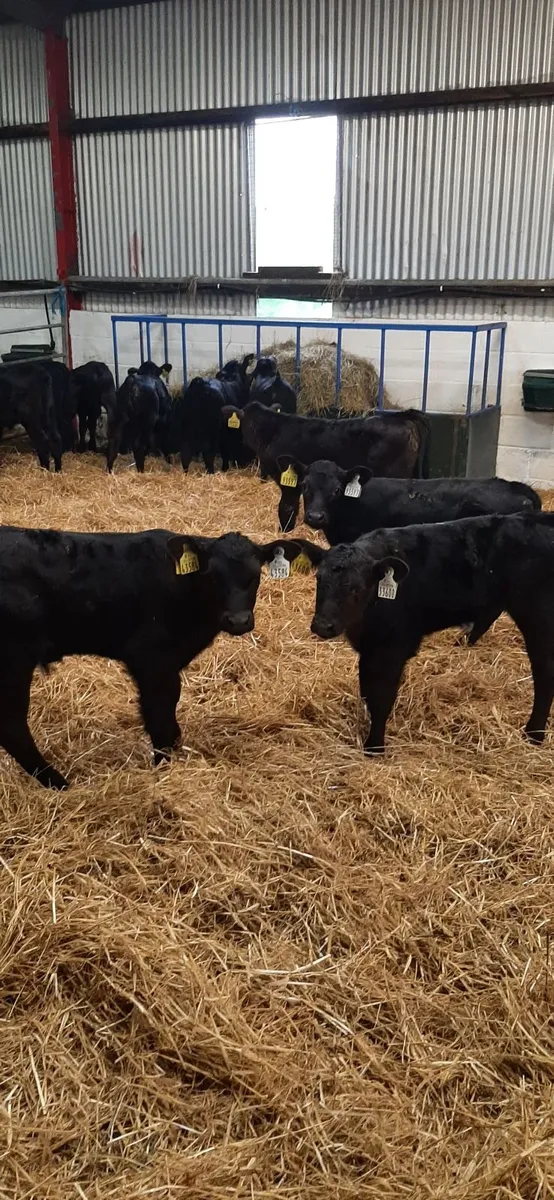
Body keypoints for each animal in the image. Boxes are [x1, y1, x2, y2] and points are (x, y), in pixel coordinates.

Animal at [0, 524, 303, 787]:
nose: (238, 621)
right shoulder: (151, 660)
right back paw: (60, 784)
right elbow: (162, 722)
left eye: (255, 576)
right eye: (212, 576)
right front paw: (162, 769)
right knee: (12, 727)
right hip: (14, 660)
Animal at [222, 402, 429, 524]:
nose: (243, 442)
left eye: (246, 424)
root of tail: (401, 416)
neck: (272, 431)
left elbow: (287, 506)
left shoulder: (287, 479)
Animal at [296, 511, 554, 754]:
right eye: (319, 578)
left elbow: (381, 697)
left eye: (355, 588)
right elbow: (367, 691)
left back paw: (534, 734)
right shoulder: (370, 649)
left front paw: (374, 747)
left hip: (538, 617)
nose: (322, 625)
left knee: (544, 673)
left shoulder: (392, 649)